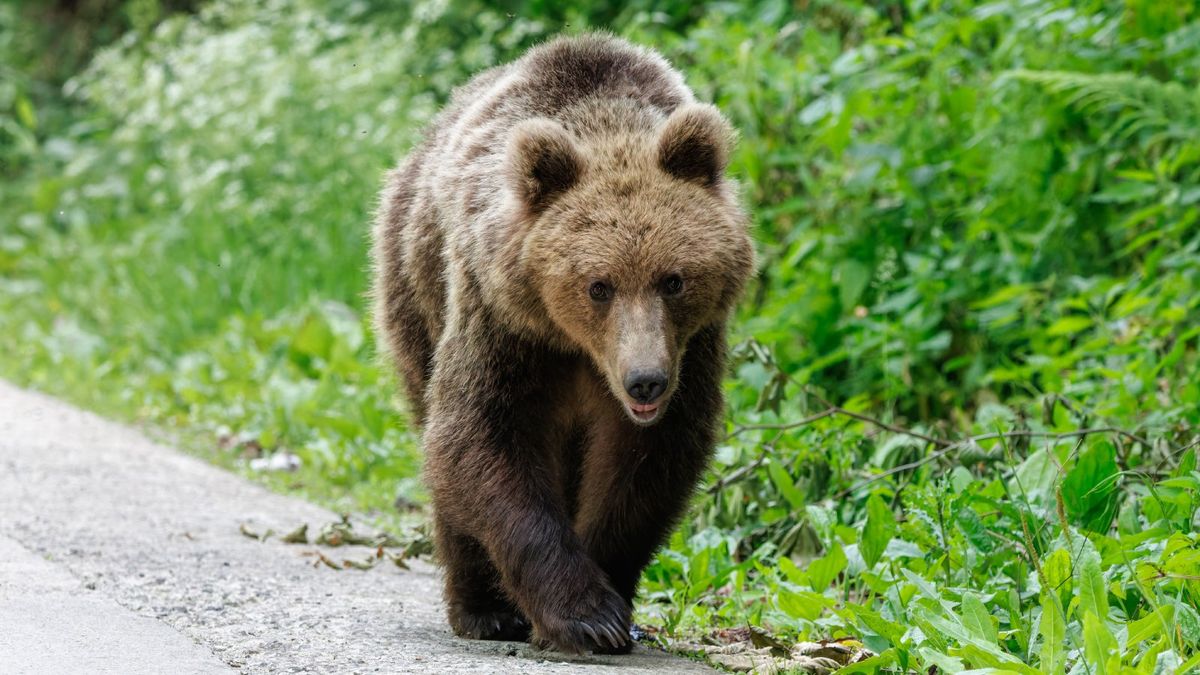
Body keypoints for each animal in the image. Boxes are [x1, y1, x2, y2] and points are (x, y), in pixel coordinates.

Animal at [369, 32, 753, 653]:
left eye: (673, 280)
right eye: (599, 285)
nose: (645, 381)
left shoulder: (691, 349)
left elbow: (646, 463)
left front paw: (610, 601)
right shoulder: (502, 323)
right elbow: (479, 436)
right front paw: (583, 615)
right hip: (413, 287)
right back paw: (482, 609)